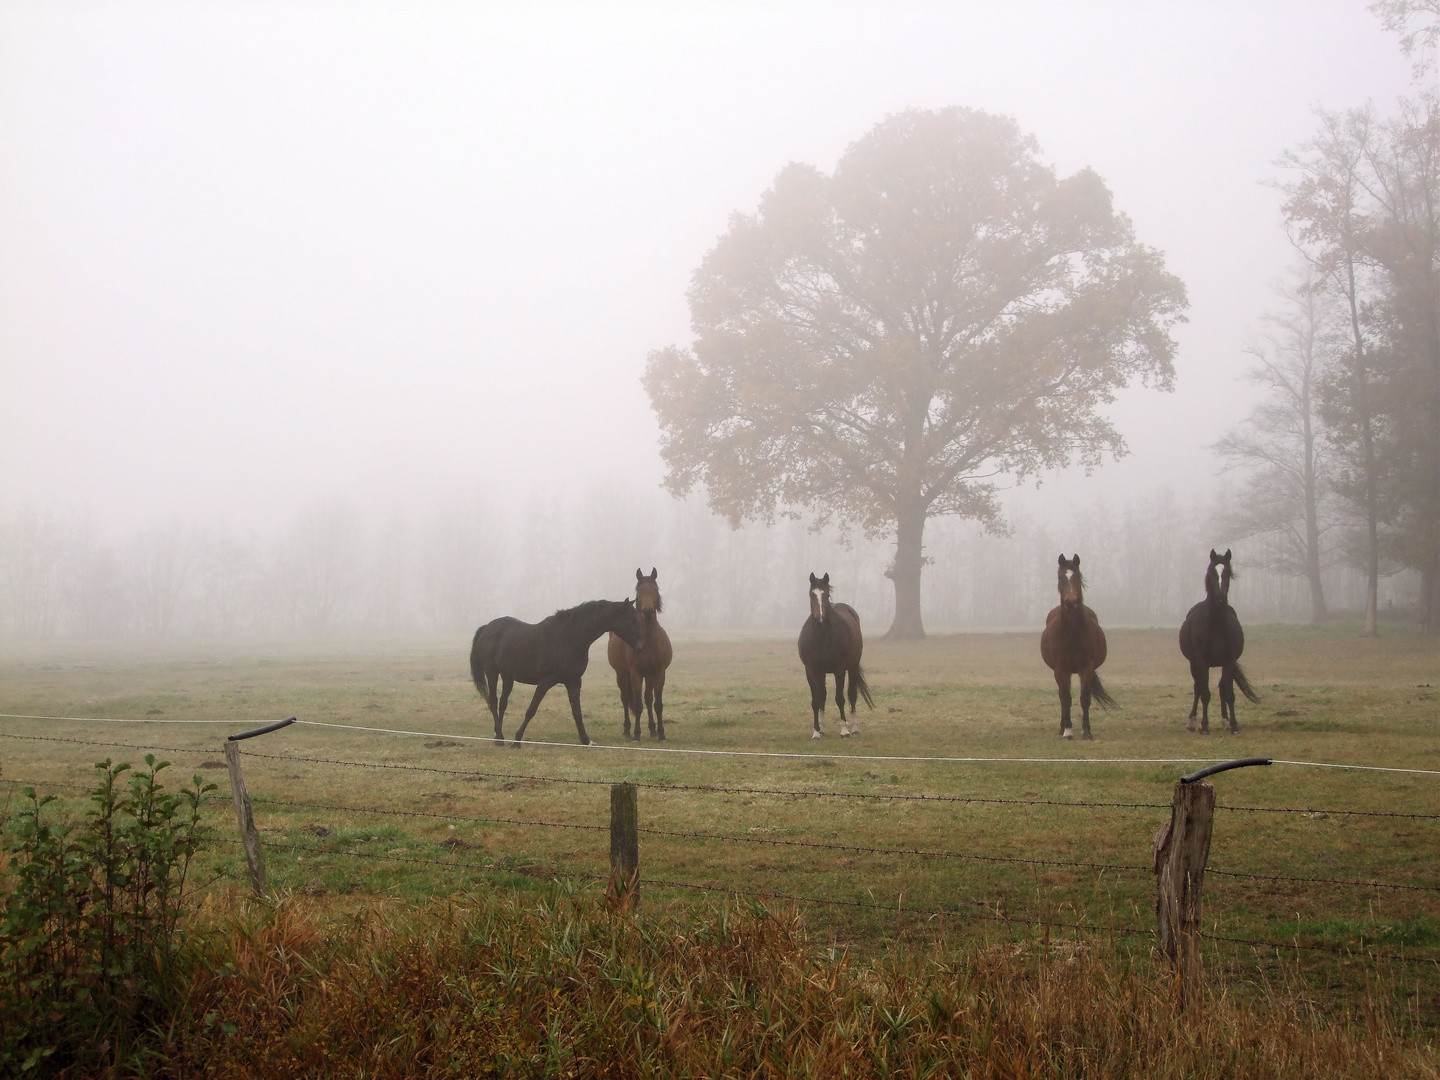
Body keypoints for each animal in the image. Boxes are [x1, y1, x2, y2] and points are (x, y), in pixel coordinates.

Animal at [469, 596, 645, 748]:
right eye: (632, 619)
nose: (641, 647)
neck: (568, 638)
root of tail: (487, 628)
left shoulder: (574, 682)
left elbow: (577, 712)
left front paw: (586, 740)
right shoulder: (545, 682)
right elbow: (531, 710)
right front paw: (517, 740)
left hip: (508, 676)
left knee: (502, 703)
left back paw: (498, 734)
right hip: (492, 672)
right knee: (493, 701)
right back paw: (499, 738)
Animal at [607, 570, 673, 743]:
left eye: (655, 590)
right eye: (639, 591)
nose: (647, 611)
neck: (648, 641)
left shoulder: (659, 673)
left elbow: (657, 704)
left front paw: (661, 734)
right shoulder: (635, 673)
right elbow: (637, 705)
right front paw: (636, 734)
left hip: (648, 675)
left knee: (648, 699)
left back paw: (652, 730)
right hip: (621, 674)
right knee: (625, 698)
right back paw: (627, 731)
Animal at [794, 576, 869, 743]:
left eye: (826, 595)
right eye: (811, 594)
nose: (820, 619)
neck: (822, 637)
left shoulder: (839, 670)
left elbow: (840, 698)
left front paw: (844, 730)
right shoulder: (812, 671)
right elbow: (816, 700)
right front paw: (816, 732)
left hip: (852, 667)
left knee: (852, 695)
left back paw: (854, 728)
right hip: (822, 673)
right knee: (823, 696)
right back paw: (822, 729)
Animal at [1042, 552, 1117, 743]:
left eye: (1077, 576)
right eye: (1061, 577)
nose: (1070, 602)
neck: (1072, 632)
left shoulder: (1086, 668)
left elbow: (1084, 699)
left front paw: (1086, 731)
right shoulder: (1061, 669)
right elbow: (1066, 698)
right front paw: (1068, 731)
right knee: (1062, 697)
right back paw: (1062, 727)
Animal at [1180, 550, 1261, 737]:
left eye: (1227, 573)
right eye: (1211, 573)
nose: (1220, 597)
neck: (1216, 624)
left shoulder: (1228, 661)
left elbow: (1228, 692)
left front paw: (1234, 725)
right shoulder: (1202, 662)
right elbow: (1204, 693)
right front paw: (1204, 726)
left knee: (1221, 687)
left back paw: (1225, 721)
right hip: (1193, 663)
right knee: (1198, 687)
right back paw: (1191, 722)